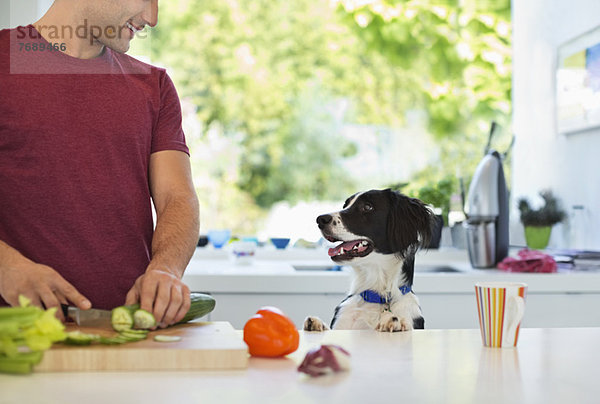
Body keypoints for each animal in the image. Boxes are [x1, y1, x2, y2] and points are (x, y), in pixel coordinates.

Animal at [302, 189, 434, 332]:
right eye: (345, 205)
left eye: (367, 207)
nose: (320, 219)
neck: (377, 297)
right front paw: (318, 325)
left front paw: (395, 323)